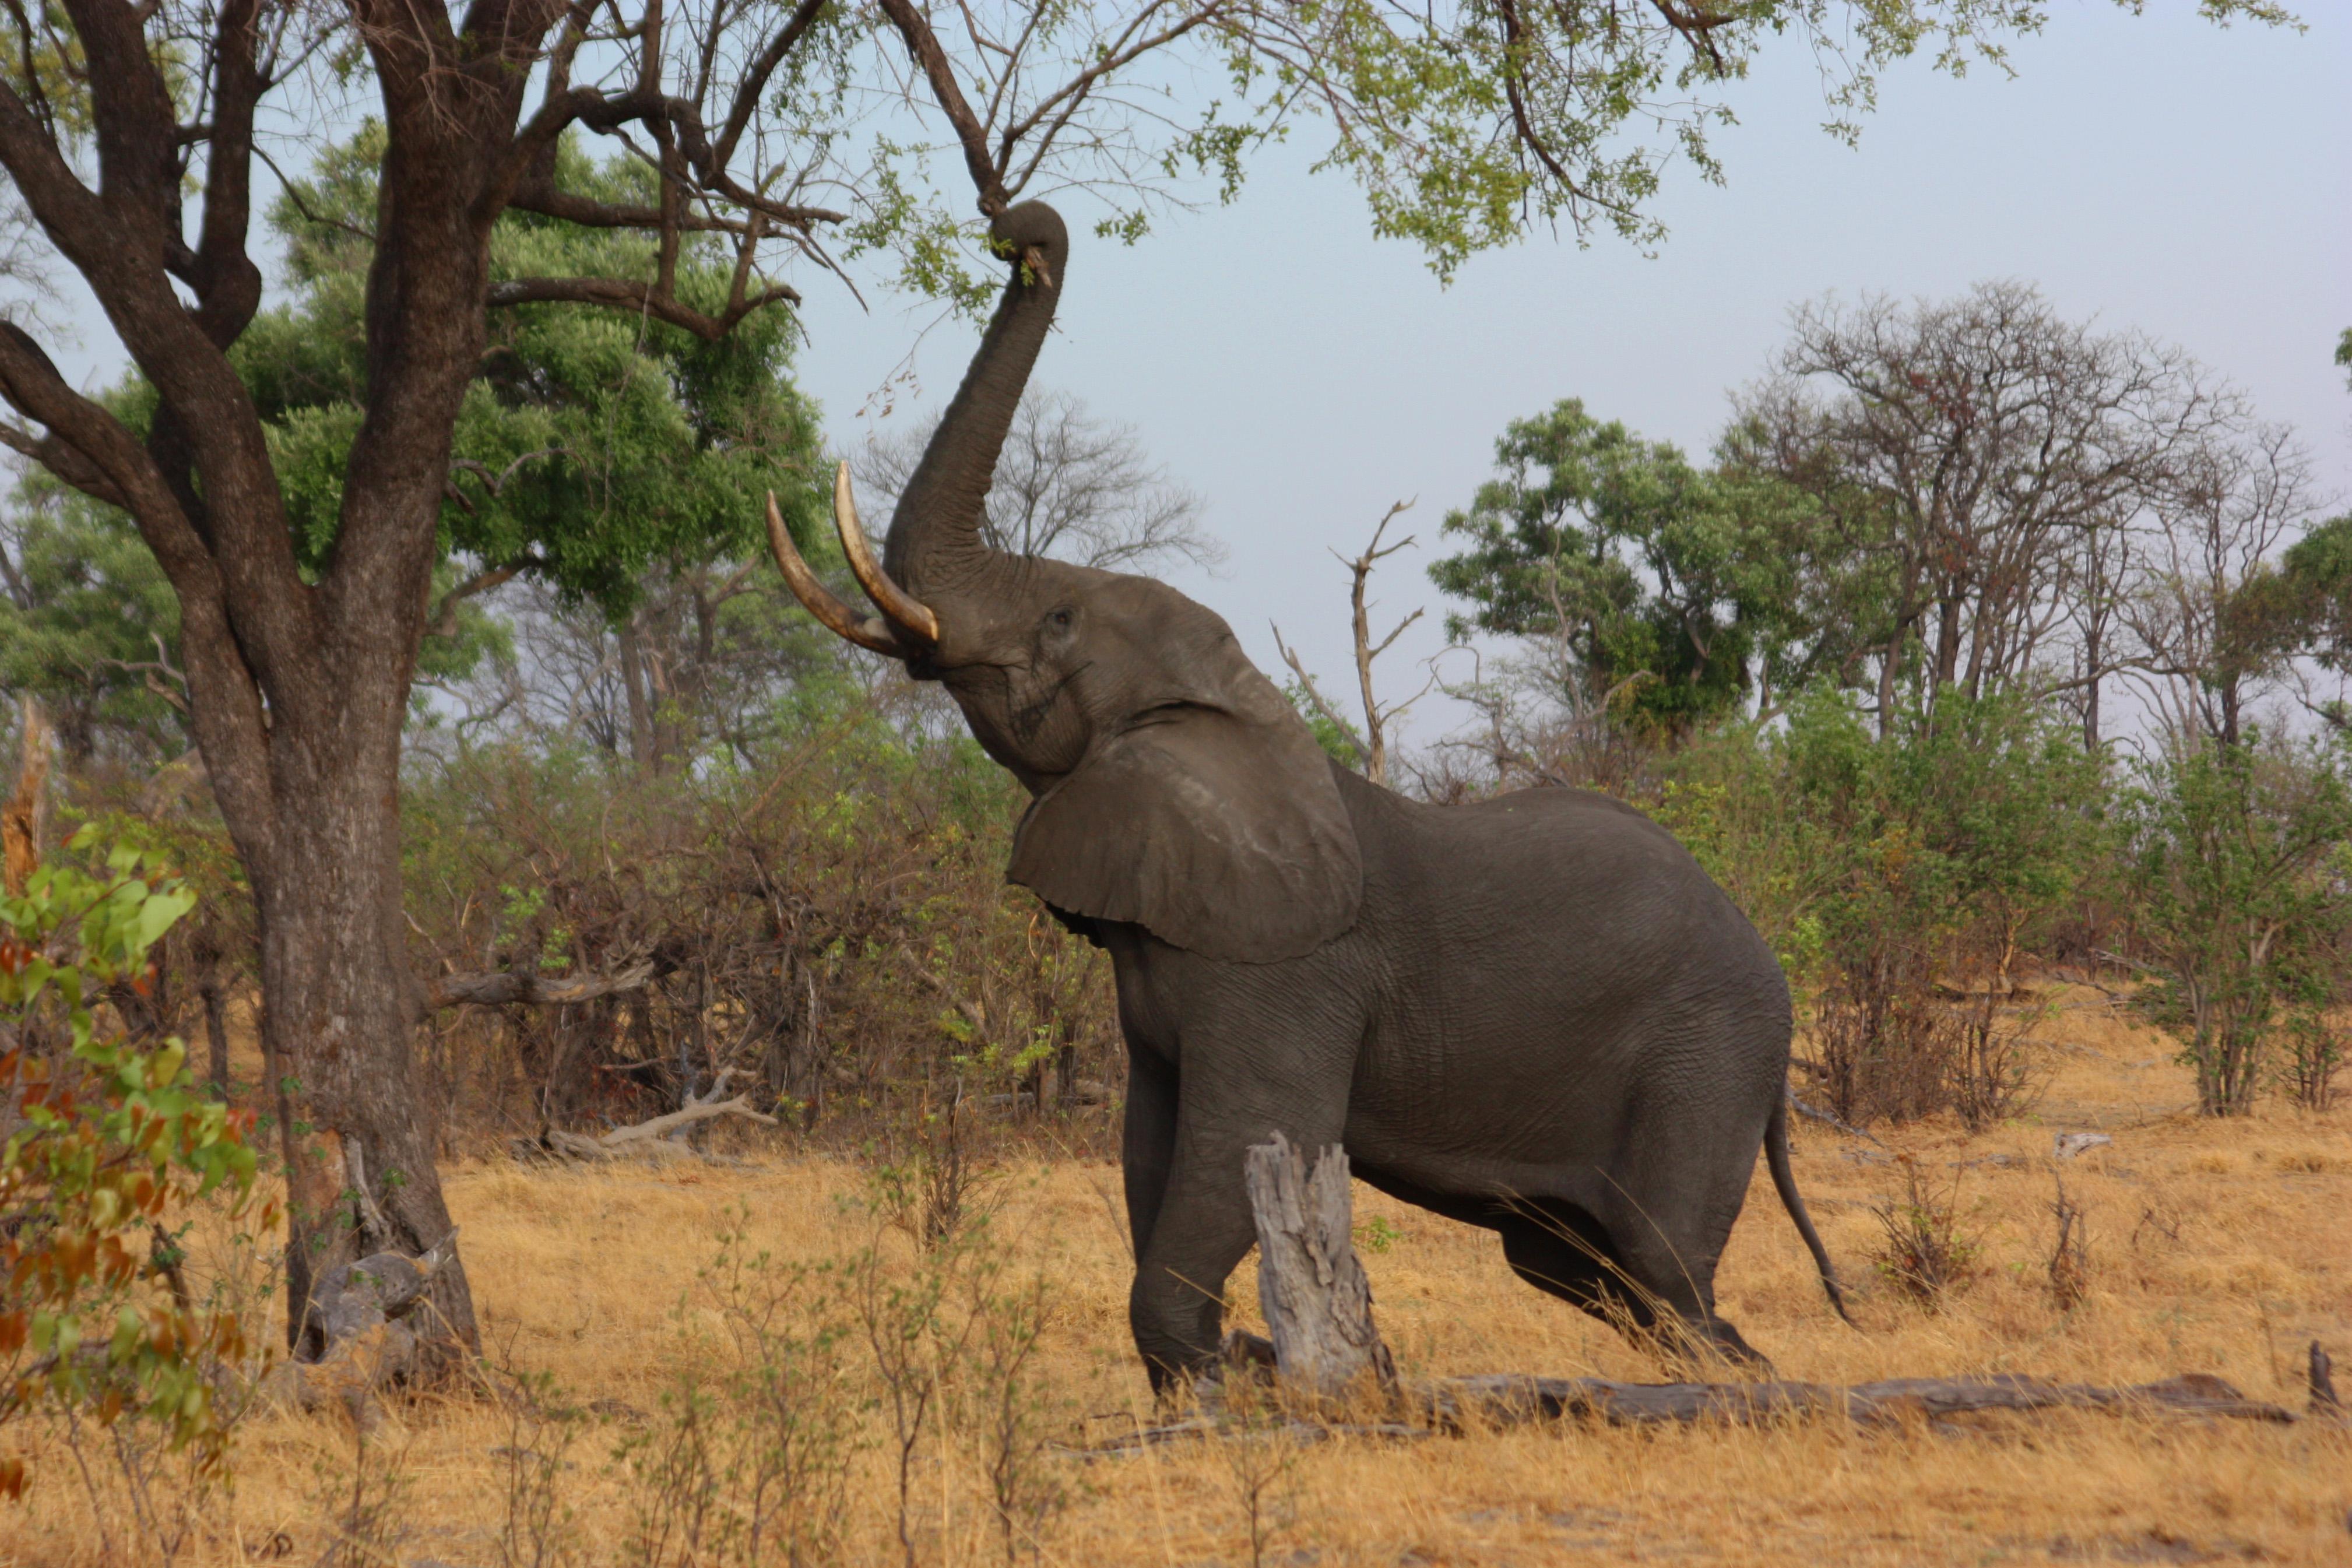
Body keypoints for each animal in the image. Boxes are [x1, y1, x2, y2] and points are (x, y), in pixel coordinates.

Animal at [768, 199, 1847, 1389]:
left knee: (1665, 1273)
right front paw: (1230, 1368)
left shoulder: (1284, 975)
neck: (1228, 710)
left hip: (1705, 1058)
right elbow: (1153, 1151)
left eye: (1057, 620)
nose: (1020, 232)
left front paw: (1231, 1370)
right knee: (1597, 1274)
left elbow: (1239, 1142)